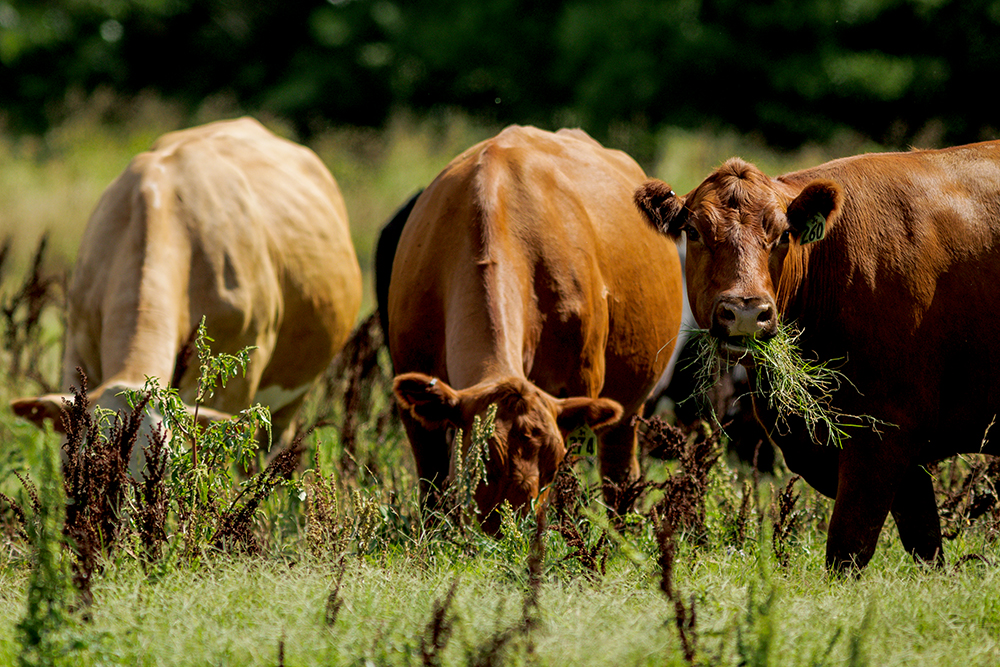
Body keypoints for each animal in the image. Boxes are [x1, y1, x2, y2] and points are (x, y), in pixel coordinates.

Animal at [378, 125, 684, 532]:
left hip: (630, 406)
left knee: (620, 475)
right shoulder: (413, 390)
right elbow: (432, 487)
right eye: (482, 463)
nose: (512, 535)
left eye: (550, 467)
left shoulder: (579, 387)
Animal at [636, 141, 1000, 576]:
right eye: (693, 231)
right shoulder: (905, 461)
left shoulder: (884, 435)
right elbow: (926, 548)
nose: (746, 311)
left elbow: (847, 548)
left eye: (782, 235)